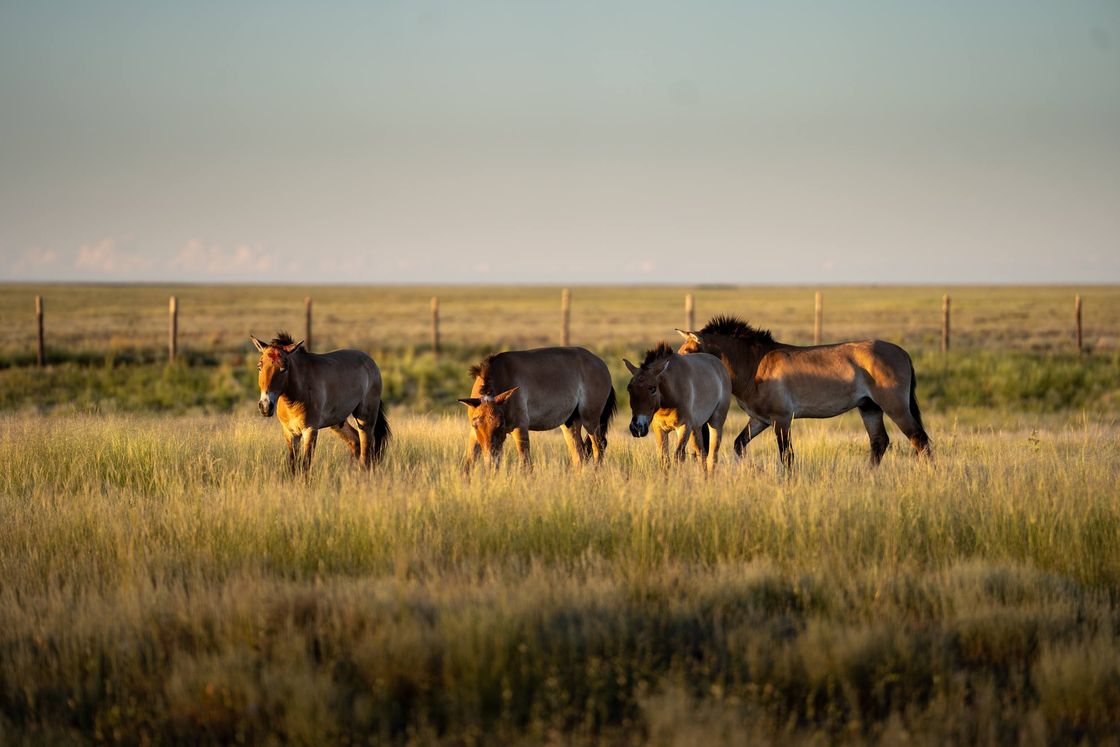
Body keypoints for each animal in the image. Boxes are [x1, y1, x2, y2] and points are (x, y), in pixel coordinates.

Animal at [251, 332, 390, 473]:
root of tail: (371, 362)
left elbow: (305, 464)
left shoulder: (310, 430)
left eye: (283, 369)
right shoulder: (290, 433)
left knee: (366, 452)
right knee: (355, 442)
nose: (265, 406)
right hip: (338, 423)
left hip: (365, 419)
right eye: (259, 367)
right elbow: (293, 465)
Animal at [458, 347, 616, 469]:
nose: (490, 460)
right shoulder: (474, 435)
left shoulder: (520, 428)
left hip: (590, 420)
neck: (502, 376)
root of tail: (601, 364)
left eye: (500, 424)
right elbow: (468, 464)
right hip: (570, 424)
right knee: (579, 455)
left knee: (598, 448)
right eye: (476, 425)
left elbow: (526, 464)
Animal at [623, 342, 731, 472]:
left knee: (712, 456)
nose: (637, 428)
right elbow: (664, 459)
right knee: (702, 455)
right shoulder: (660, 429)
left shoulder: (683, 427)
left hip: (716, 423)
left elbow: (678, 457)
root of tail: (720, 366)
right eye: (629, 388)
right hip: (696, 428)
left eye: (653, 388)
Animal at [676, 315, 930, 468]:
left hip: (895, 407)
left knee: (919, 440)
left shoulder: (782, 419)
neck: (755, 364)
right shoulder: (760, 420)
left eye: (688, 350)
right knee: (879, 442)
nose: (676, 369)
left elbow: (786, 456)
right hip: (870, 408)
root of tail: (903, 353)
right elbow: (739, 444)